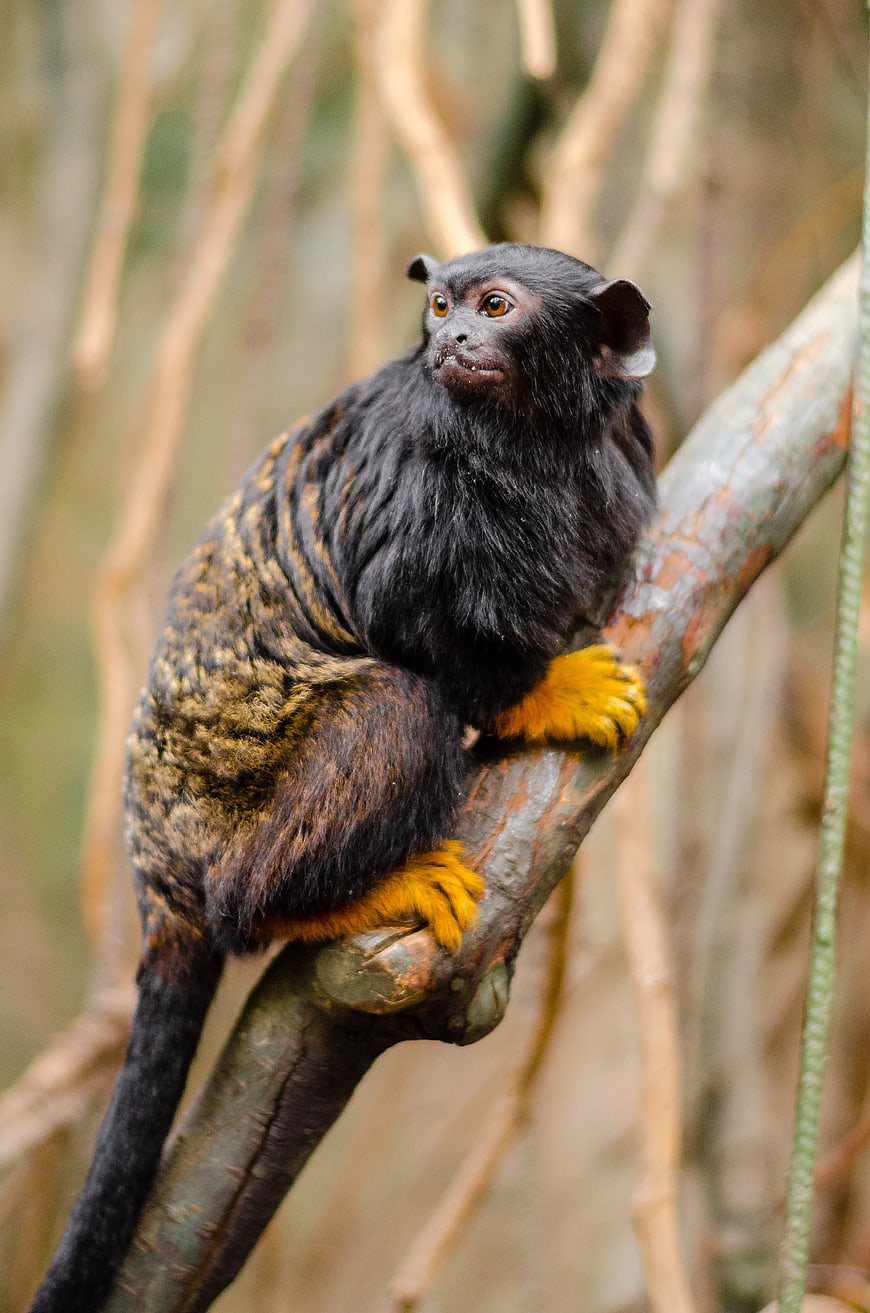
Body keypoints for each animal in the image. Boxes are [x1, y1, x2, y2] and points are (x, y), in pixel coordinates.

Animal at [28, 243, 656, 1312]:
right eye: (440, 305)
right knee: (384, 721)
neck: (540, 447)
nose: (453, 338)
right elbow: (411, 624)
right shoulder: (419, 486)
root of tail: (159, 869)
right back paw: (326, 901)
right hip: (237, 809)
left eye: (496, 309)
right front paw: (544, 693)